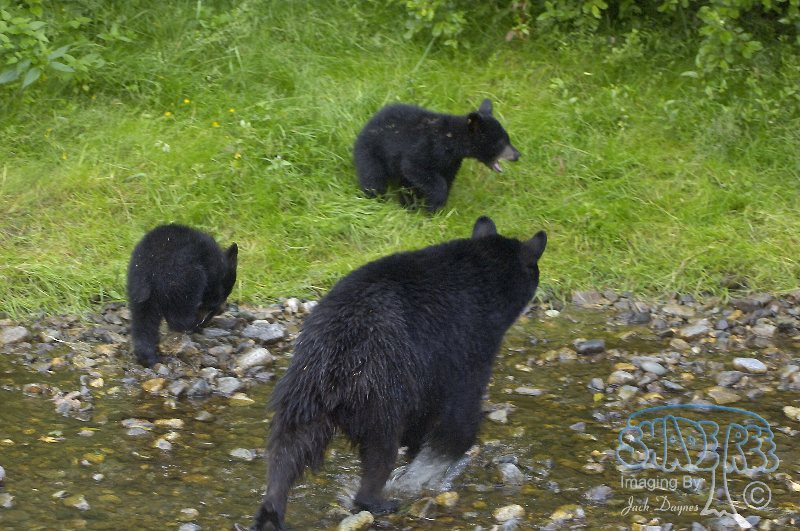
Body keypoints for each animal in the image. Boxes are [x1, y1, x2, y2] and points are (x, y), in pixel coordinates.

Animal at [127, 224, 238, 367]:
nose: (224, 308)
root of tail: (150, 272)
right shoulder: (213, 280)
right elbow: (211, 300)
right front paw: (206, 318)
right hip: (185, 279)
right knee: (179, 316)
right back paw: (191, 326)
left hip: (139, 290)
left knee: (143, 319)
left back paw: (147, 357)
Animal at [250, 216, 546, 530]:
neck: (484, 278)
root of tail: (336, 355)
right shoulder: (465, 345)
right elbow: (460, 412)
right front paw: (441, 459)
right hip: (380, 389)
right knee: (379, 451)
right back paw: (378, 500)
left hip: (302, 391)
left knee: (288, 449)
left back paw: (271, 509)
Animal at [354, 99, 520, 213]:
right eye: (500, 142)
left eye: (508, 139)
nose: (517, 155)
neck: (452, 142)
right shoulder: (428, 148)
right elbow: (415, 167)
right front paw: (433, 207)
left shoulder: (451, 162)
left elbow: (447, 178)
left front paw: (436, 208)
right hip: (370, 152)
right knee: (373, 178)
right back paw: (375, 200)